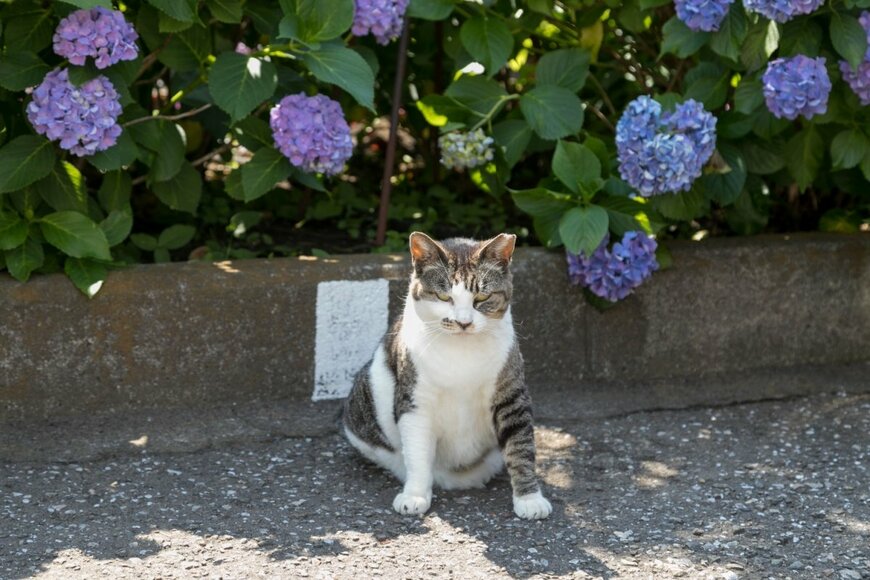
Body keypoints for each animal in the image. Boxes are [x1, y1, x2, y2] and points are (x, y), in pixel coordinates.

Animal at [342, 231, 552, 520]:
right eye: (444, 297)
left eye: (482, 298)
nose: (464, 322)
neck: (460, 350)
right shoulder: (415, 401)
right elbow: (418, 452)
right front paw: (415, 495)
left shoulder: (511, 396)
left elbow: (520, 446)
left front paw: (529, 498)